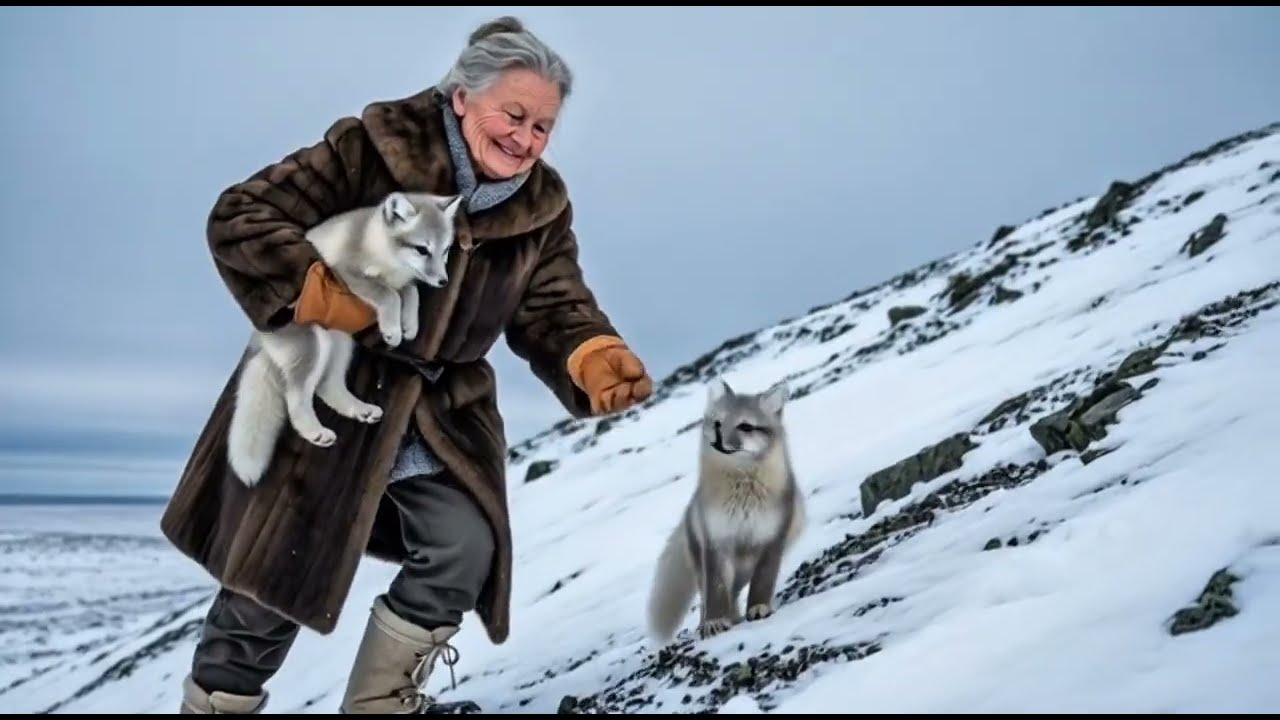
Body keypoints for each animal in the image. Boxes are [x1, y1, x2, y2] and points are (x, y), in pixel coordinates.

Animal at [225, 190, 463, 487]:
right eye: (422, 249)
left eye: (445, 251)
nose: (443, 281)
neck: (379, 248)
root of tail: (260, 335)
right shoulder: (346, 273)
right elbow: (389, 295)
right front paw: (393, 329)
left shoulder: (401, 281)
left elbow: (410, 291)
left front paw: (409, 325)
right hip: (315, 346)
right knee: (296, 397)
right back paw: (315, 432)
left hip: (342, 346)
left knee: (326, 387)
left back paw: (359, 410)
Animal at [646, 376, 806, 642]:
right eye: (718, 423)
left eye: (746, 426)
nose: (718, 440)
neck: (743, 498)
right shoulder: (716, 542)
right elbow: (717, 589)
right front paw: (716, 621)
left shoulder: (773, 538)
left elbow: (763, 580)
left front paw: (759, 607)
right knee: (710, 595)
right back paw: (715, 620)